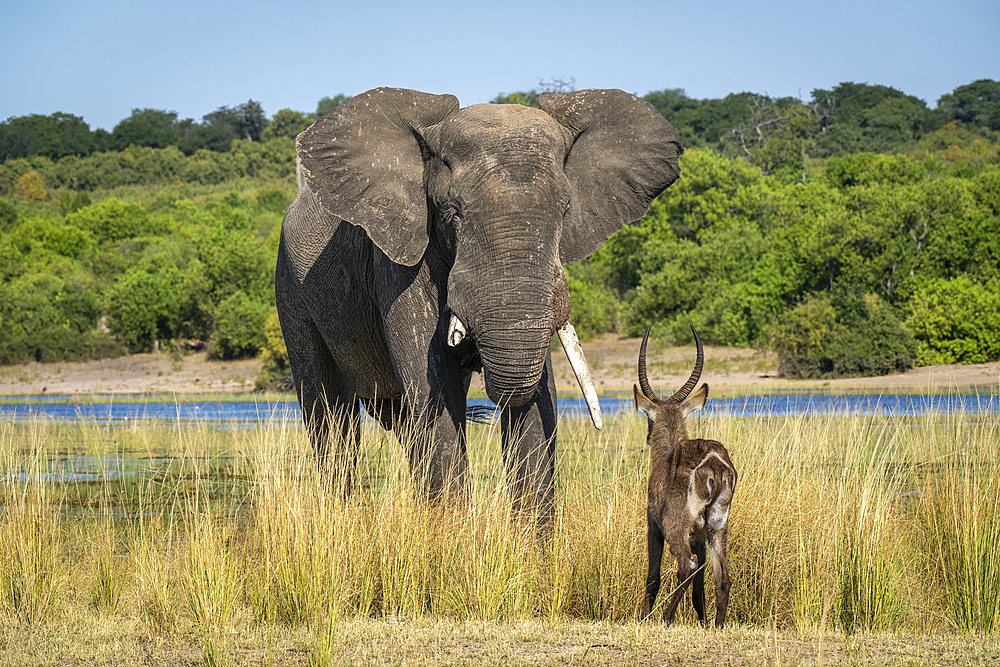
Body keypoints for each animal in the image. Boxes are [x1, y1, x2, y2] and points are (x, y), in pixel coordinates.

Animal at [274, 86, 680, 520]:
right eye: (454, 214)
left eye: (565, 211)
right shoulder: (401, 263)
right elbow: (437, 389)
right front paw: (450, 532)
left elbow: (537, 396)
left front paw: (528, 539)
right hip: (291, 290)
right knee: (330, 418)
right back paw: (340, 514)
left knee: (402, 422)